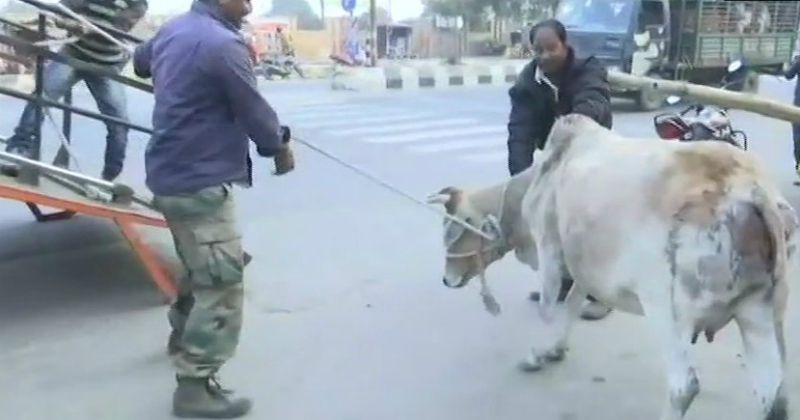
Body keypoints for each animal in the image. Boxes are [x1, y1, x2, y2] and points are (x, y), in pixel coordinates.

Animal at [428, 114, 796, 420]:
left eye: (452, 230)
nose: (446, 279)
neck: (541, 178)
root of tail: (751, 190)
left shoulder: (549, 252)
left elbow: (549, 307)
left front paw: (536, 355)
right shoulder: (583, 266)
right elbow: (572, 303)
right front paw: (556, 348)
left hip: (667, 310)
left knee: (684, 386)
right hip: (759, 313)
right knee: (775, 397)